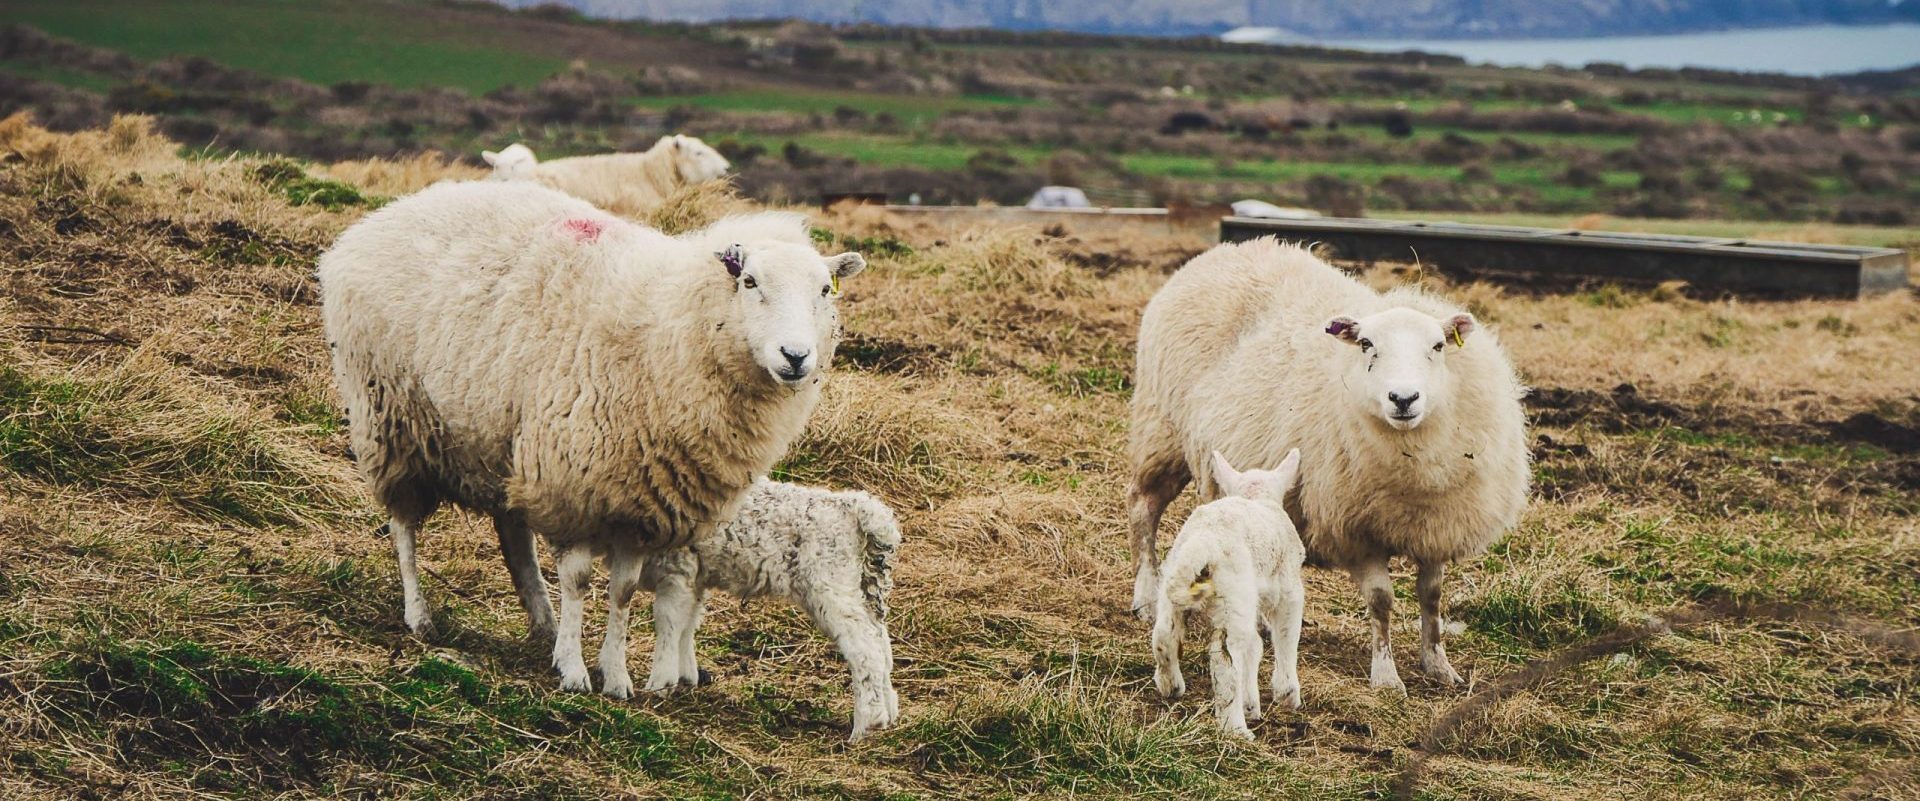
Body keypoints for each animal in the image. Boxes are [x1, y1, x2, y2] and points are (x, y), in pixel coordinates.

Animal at [314, 179, 864, 691]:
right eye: (750, 281)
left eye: (825, 290)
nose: (796, 357)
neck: (671, 331)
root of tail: (383, 217)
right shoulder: (572, 485)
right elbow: (578, 582)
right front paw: (575, 672)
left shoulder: (641, 506)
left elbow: (622, 591)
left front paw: (614, 676)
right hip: (389, 419)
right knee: (403, 525)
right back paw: (419, 615)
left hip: (505, 442)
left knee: (513, 535)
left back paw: (542, 623)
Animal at [625, 478, 902, 741]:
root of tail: (853, 506)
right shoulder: (695, 576)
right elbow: (688, 624)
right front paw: (685, 678)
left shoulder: (677, 569)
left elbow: (668, 622)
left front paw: (658, 685)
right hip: (864, 585)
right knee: (880, 643)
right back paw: (886, 716)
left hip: (829, 582)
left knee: (865, 649)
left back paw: (865, 726)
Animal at [1121, 235, 1528, 687]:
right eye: (1367, 345)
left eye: (1438, 347)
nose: (1403, 398)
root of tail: (1225, 250)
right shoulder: (1356, 528)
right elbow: (1382, 601)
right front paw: (1386, 676)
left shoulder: (1438, 524)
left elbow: (1432, 598)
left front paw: (1439, 665)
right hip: (1161, 428)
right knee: (1143, 508)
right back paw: (1145, 596)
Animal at [1144, 449, 1313, 737]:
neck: (1257, 497)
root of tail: (1204, 541)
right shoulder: (1289, 590)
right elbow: (1287, 636)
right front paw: (1287, 694)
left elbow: (1254, 647)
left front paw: (1251, 704)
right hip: (1234, 595)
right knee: (1225, 657)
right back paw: (1236, 729)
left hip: (1175, 579)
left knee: (1164, 634)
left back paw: (1171, 685)